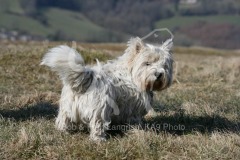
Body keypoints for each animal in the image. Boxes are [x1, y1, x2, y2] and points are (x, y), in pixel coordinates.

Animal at [40, 36, 172, 141]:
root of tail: (86, 79)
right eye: (147, 63)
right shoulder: (134, 107)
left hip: (67, 107)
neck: (131, 73)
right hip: (100, 109)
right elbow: (134, 120)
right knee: (97, 124)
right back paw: (99, 139)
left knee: (63, 120)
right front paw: (137, 130)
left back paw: (63, 132)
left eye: (164, 65)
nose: (159, 74)